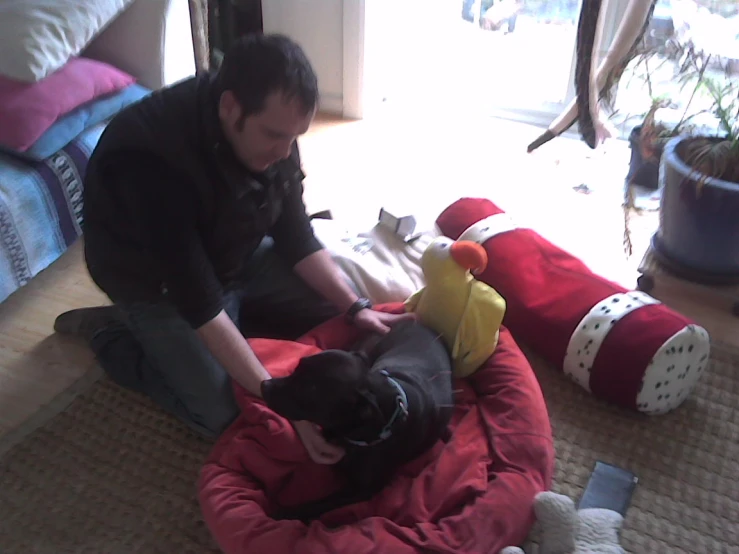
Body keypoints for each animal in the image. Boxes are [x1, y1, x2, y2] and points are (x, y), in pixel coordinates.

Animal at [264, 316, 454, 520]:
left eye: (308, 390)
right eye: (298, 367)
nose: (264, 385)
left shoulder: (361, 490)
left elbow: (321, 503)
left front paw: (285, 512)